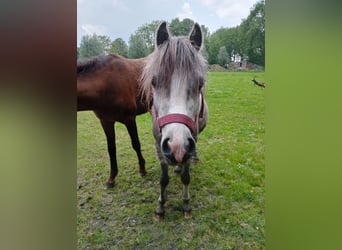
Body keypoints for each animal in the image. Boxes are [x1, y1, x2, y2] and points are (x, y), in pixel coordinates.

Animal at [79, 53, 151, 188]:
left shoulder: (129, 119)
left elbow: (136, 144)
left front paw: (142, 169)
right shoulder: (106, 121)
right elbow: (111, 148)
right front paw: (111, 179)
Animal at [140, 22, 208, 219]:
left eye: (200, 84)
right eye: (154, 82)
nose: (177, 148)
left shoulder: (190, 143)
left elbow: (186, 177)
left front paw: (186, 204)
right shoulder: (159, 146)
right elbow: (163, 179)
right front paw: (160, 206)